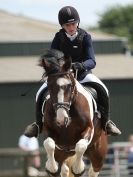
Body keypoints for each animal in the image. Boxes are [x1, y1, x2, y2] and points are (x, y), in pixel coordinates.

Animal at [40, 49, 108, 177]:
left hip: (98, 154)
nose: (61, 119)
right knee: (64, 168)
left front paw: (78, 168)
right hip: (63, 154)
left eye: (70, 86)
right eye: (49, 86)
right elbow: (49, 144)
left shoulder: (88, 128)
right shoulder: (48, 129)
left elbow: (80, 146)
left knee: (93, 170)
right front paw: (51, 167)